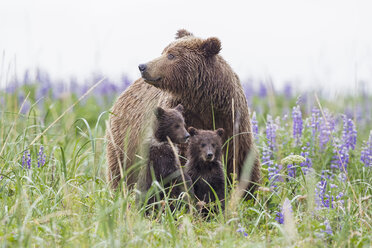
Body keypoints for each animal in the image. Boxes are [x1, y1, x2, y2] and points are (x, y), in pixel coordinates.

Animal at [106, 28, 260, 196]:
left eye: (171, 55)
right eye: (164, 51)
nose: (143, 66)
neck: (202, 101)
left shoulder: (231, 120)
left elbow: (241, 162)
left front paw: (248, 193)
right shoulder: (183, 117)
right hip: (124, 141)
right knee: (120, 171)